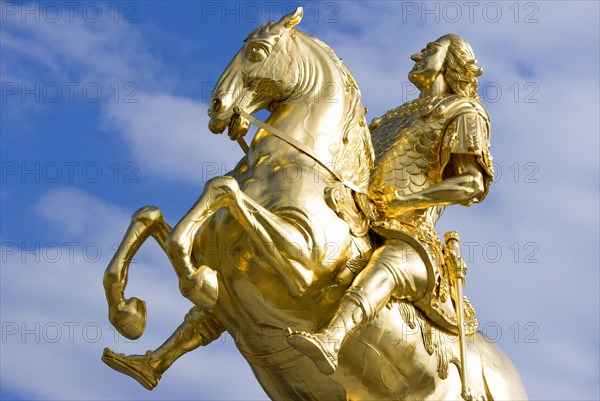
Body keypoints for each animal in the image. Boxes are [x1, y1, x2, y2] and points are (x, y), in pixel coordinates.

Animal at [102, 7, 524, 398]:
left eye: (257, 51)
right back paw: (141, 364)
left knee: (383, 273)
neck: (292, 165)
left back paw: (319, 346)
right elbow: (150, 215)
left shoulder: (305, 266)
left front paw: (196, 279)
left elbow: (221, 188)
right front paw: (128, 314)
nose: (217, 107)